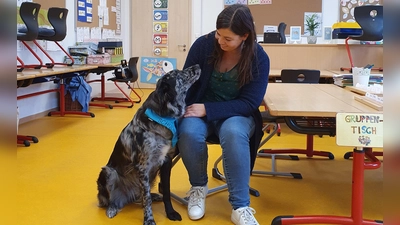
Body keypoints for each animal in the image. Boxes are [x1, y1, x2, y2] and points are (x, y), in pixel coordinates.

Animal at [97, 64, 200, 224]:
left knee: (140, 196)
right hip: (107, 172)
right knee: (111, 200)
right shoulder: (143, 167)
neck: (162, 118)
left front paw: (170, 213)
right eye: (178, 73)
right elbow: (146, 200)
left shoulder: (166, 162)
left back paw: (154, 195)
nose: (197, 65)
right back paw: (112, 208)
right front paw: (149, 219)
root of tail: (127, 196)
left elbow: (166, 192)